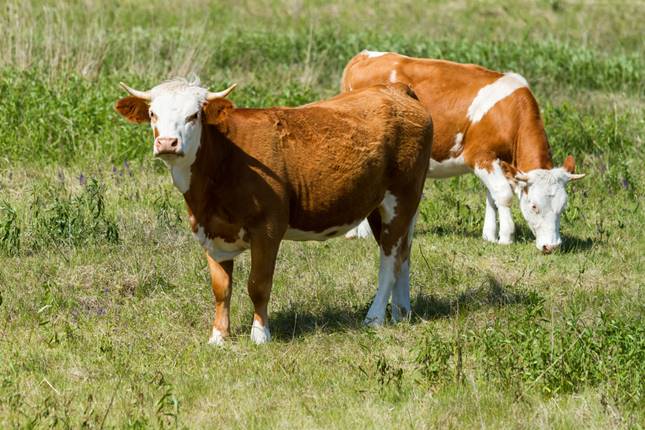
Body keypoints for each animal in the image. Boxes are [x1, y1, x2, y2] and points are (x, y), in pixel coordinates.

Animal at [115, 79, 432, 344]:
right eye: (153, 114)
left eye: (194, 116)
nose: (167, 143)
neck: (225, 160)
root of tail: (395, 90)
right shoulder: (210, 232)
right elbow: (221, 288)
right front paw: (218, 336)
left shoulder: (267, 229)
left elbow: (258, 284)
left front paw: (260, 335)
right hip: (380, 206)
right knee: (403, 254)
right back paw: (401, 312)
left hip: (401, 197)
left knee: (389, 260)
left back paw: (375, 317)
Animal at [342, 51, 584, 252]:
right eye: (534, 206)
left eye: (563, 206)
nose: (552, 246)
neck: (510, 114)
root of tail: (364, 56)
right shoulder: (481, 156)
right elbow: (503, 195)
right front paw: (506, 237)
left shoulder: (500, 163)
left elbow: (491, 197)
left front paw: (489, 235)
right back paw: (358, 233)